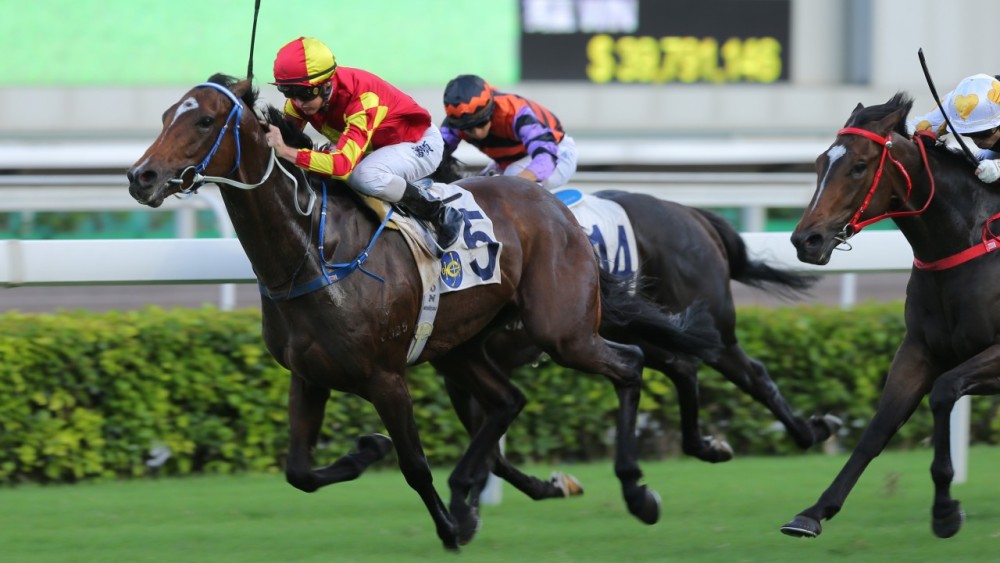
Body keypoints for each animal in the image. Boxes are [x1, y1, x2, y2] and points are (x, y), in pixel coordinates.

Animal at [125, 74, 723, 550]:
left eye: (204, 120)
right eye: (166, 115)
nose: (141, 177)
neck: (312, 253)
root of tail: (557, 208)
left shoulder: (385, 377)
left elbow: (413, 465)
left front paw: (450, 526)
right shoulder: (308, 375)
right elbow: (298, 471)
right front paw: (369, 451)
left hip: (563, 330)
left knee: (631, 363)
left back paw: (638, 489)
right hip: (460, 347)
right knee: (509, 400)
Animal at [430, 156, 840, 503]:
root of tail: (689, 213)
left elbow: (491, 443)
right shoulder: (459, 370)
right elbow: (491, 449)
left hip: (708, 328)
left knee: (751, 373)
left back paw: (811, 431)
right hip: (633, 328)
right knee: (681, 365)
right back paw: (708, 445)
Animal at [784, 92, 1000, 539]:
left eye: (859, 166)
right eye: (820, 162)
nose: (805, 240)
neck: (968, 243)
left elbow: (944, 391)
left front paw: (945, 510)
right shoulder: (917, 351)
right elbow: (879, 426)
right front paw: (814, 511)